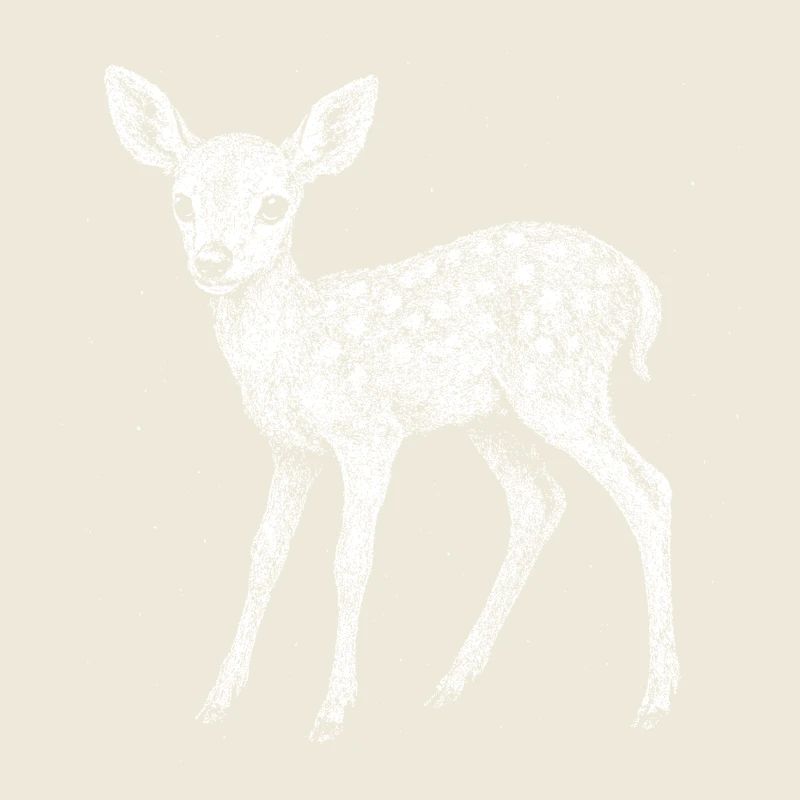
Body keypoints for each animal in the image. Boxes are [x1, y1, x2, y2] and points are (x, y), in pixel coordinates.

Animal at [104, 65, 679, 741]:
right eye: (182, 202)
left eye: (274, 204)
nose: (213, 260)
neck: (296, 343)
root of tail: (639, 285)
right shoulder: (292, 448)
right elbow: (264, 553)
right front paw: (218, 699)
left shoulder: (367, 432)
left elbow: (350, 560)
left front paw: (332, 711)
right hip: (495, 416)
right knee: (539, 501)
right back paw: (453, 681)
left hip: (561, 383)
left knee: (647, 488)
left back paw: (657, 698)